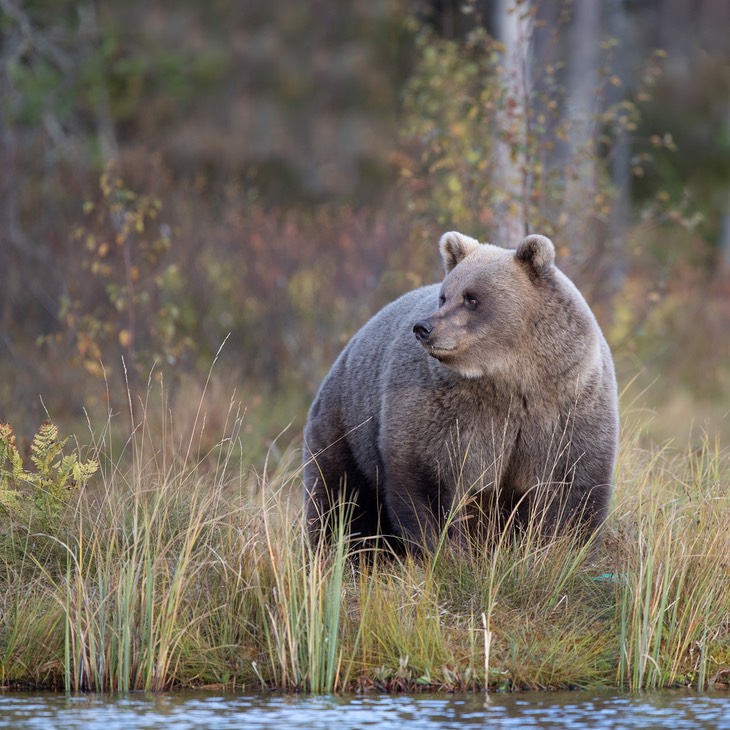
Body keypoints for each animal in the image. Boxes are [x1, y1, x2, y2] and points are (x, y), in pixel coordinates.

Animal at [300, 230, 616, 548]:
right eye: (445, 295)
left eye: (472, 298)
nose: (423, 328)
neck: (509, 380)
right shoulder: (445, 414)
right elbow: (431, 483)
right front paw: (447, 547)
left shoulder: (565, 411)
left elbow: (571, 490)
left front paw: (559, 545)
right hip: (349, 429)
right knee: (341, 502)